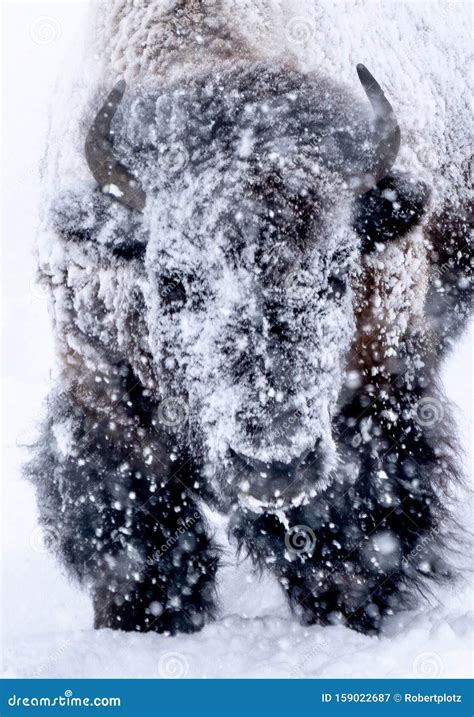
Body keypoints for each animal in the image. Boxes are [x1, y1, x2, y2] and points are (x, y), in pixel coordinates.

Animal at [29, 0, 470, 636]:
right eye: (172, 282)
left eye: (338, 273)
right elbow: (136, 533)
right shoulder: (99, 388)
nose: (274, 466)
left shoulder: (380, 380)